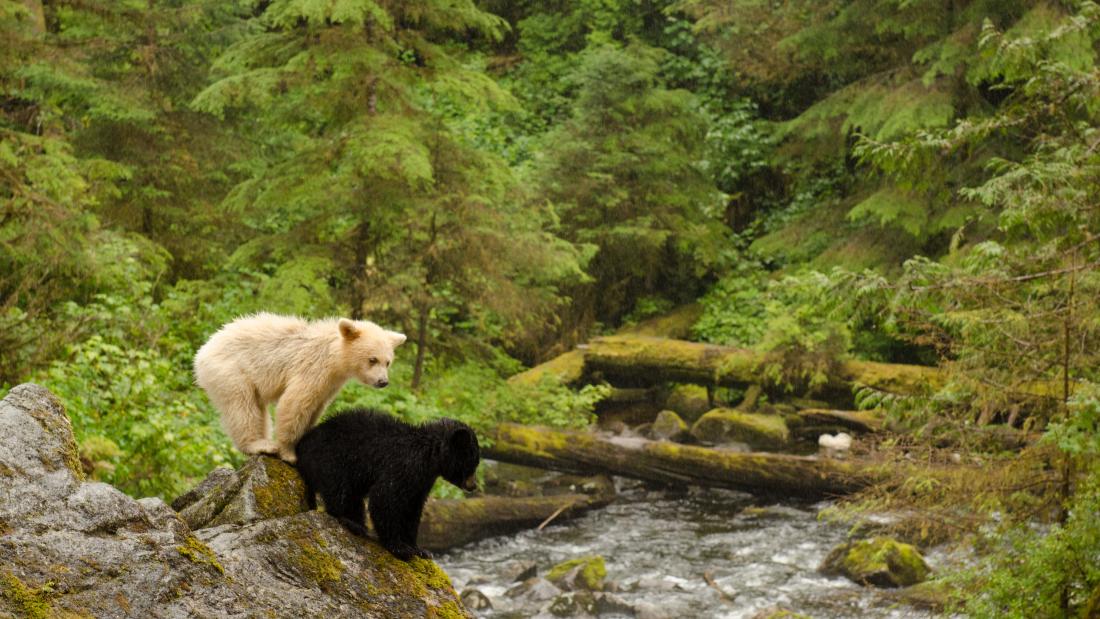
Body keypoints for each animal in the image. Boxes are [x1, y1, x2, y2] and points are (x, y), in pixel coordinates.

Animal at [195, 312, 407, 461]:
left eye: (388, 362)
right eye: (373, 359)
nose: (383, 382)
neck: (334, 356)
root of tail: (202, 352)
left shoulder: (331, 383)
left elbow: (316, 407)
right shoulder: (313, 368)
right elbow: (295, 402)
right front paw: (288, 453)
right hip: (231, 372)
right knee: (242, 406)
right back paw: (259, 444)